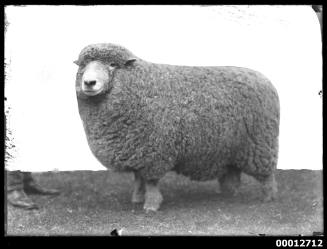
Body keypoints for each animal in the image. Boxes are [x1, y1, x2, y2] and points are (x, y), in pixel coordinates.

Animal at [75, 43, 280, 212]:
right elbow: (138, 179)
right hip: (231, 146)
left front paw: (151, 205)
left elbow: (151, 182)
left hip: (260, 143)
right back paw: (230, 193)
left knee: (267, 175)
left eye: (113, 65)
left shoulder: (153, 153)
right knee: (233, 172)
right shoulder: (136, 153)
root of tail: (264, 78)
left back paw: (268, 197)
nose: (89, 83)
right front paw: (137, 198)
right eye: (83, 66)